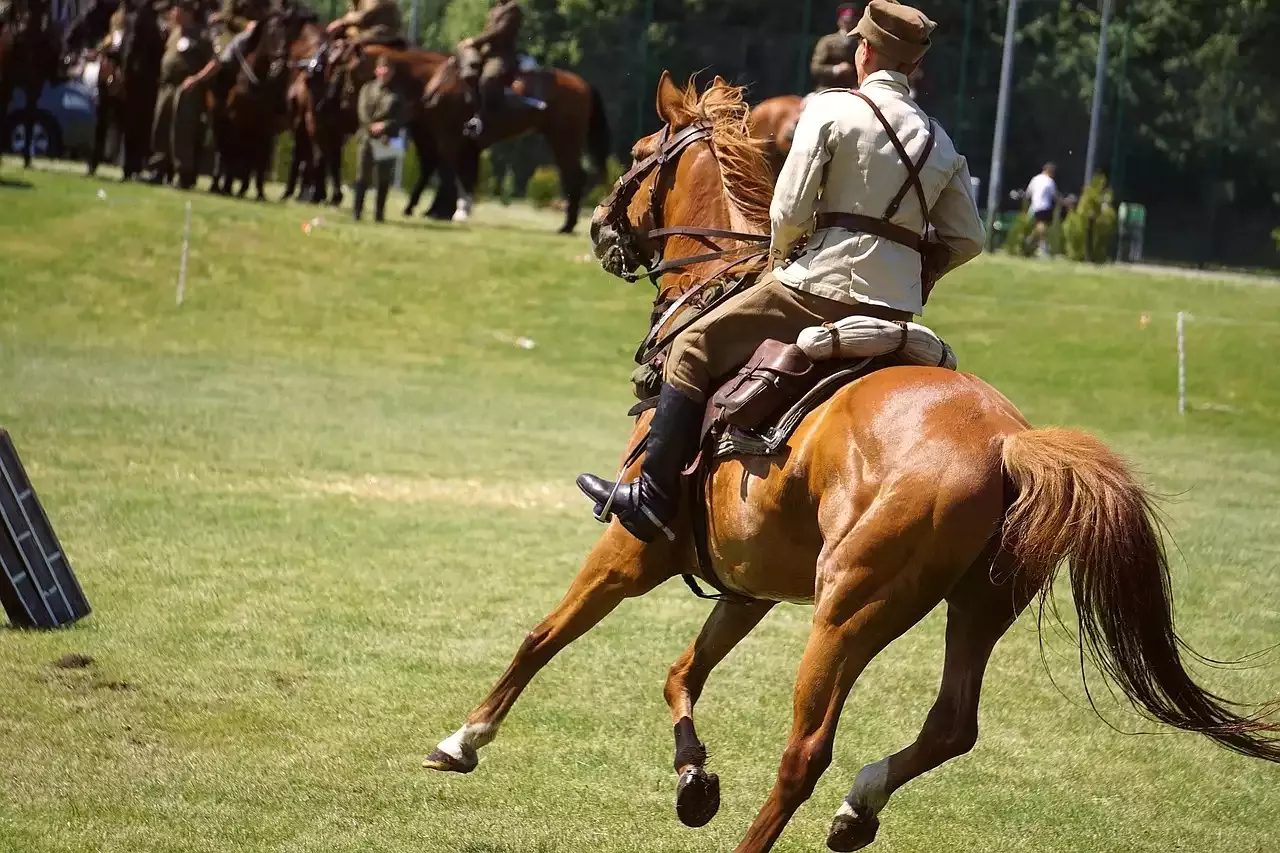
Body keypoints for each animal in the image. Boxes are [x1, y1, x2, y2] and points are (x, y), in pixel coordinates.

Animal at [407, 55, 611, 233]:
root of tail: (584, 85)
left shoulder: (449, 141)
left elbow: (450, 174)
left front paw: (445, 211)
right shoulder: (458, 145)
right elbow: (456, 173)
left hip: (564, 139)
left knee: (574, 176)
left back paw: (567, 226)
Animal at [422, 73, 1280, 850]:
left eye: (636, 155)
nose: (601, 228)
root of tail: (1007, 440)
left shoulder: (636, 547)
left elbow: (544, 635)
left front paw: (464, 737)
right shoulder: (749, 583)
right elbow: (682, 670)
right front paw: (694, 776)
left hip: (850, 609)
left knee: (806, 751)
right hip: (977, 603)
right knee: (951, 724)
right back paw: (858, 806)